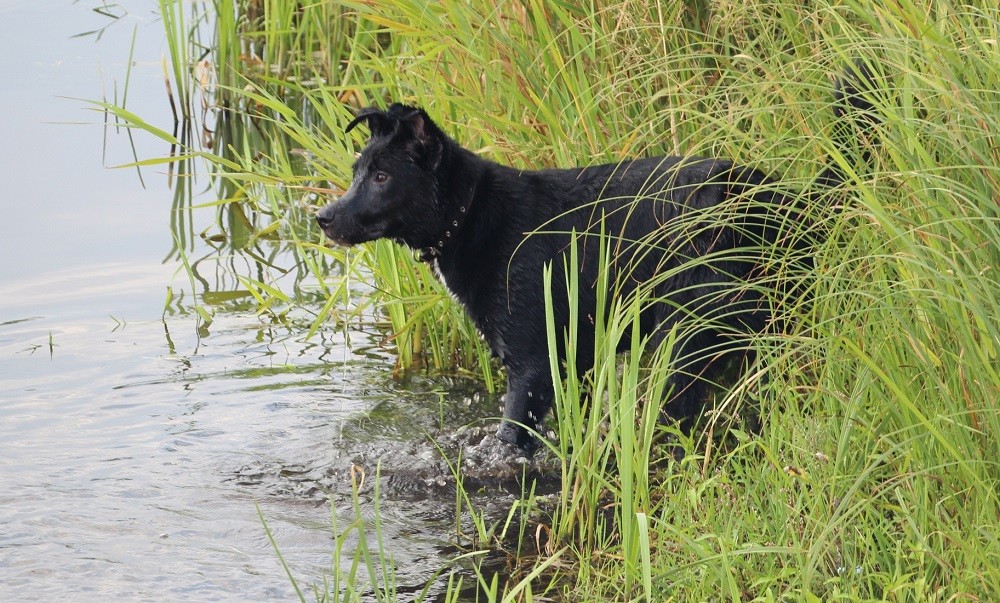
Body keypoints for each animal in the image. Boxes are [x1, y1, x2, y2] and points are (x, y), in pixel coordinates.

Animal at [316, 68, 880, 450]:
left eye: (382, 177)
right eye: (357, 171)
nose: (322, 217)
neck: (470, 213)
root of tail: (780, 197)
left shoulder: (532, 367)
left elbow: (510, 439)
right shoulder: (572, 365)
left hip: (691, 335)